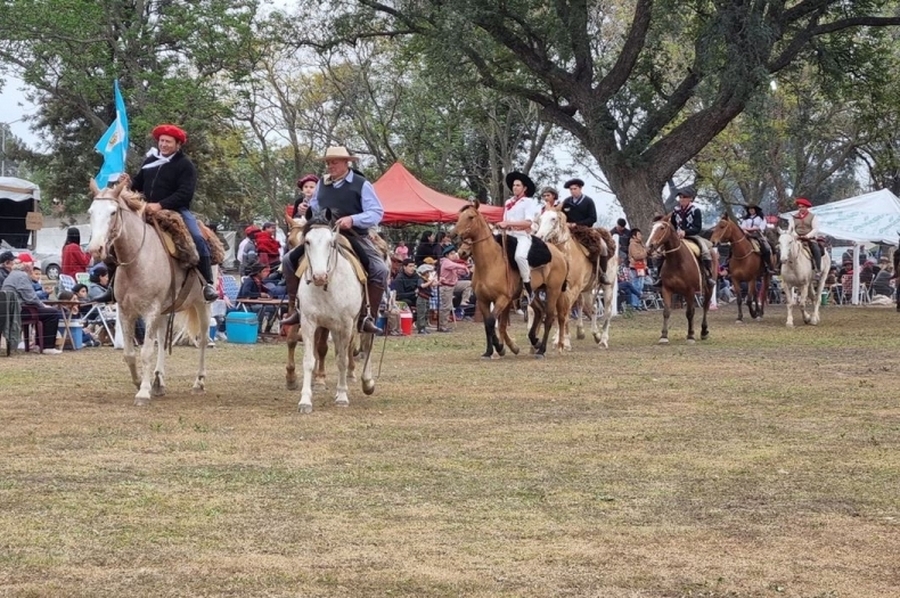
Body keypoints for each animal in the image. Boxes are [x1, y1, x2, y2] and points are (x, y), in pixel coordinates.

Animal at [87, 179, 212, 408]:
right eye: (90, 212)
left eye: (113, 212)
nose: (95, 249)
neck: (137, 261)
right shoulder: (125, 312)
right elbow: (130, 354)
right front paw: (140, 382)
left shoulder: (151, 310)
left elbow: (145, 351)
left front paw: (143, 392)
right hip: (165, 311)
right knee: (162, 341)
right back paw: (159, 381)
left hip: (202, 305)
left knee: (203, 340)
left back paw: (198, 382)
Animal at [294, 217, 374, 418]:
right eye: (307, 242)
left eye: (331, 243)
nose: (319, 276)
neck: (327, 287)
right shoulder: (308, 322)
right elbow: (309, 361)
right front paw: (305, 401)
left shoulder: (346, 324)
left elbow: (342, 360)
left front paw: (342, 397)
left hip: (358, 322)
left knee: (366, 344)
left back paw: (367, 382)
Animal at [454, 202, 572, 360]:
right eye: (459, 216)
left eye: (470, 217)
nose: (462, 252)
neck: (490, 263)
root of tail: (560, 254)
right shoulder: (483, 300)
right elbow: (490, 324)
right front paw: (490, 351)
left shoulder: (503, 299)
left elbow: (493, 322)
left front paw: (501, 348)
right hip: (534, 292)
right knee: (540, 311)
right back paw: (535, 341)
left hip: (553, 290)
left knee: (549, 317)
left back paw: (541, 350)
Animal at [536, 210, 620, 352]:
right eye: (540, 219)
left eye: (553, 219)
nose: (539, 236)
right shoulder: (558, 289)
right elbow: (560, 312)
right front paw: (559, 340)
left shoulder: (573, 289)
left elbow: (565, 312)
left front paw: (565, 342)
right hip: (587, 290)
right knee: (592, 308)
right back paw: (592, 333)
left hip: (608, 287)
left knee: (607, 312)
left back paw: (603, 340)